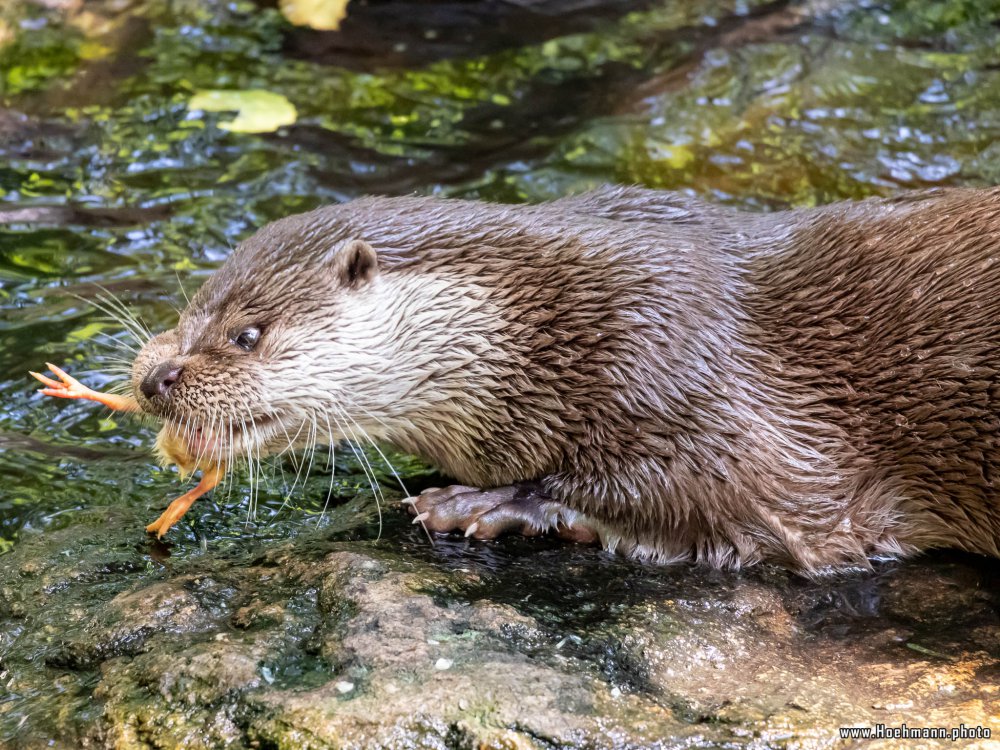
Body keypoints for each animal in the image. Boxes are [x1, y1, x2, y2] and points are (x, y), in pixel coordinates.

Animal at [35, 189, 1000, 576]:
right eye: (193, 302)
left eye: (248, 333)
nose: (156, 377)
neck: (550, 326)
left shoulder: (687, 373)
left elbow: (726, 503)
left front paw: (488, 503)